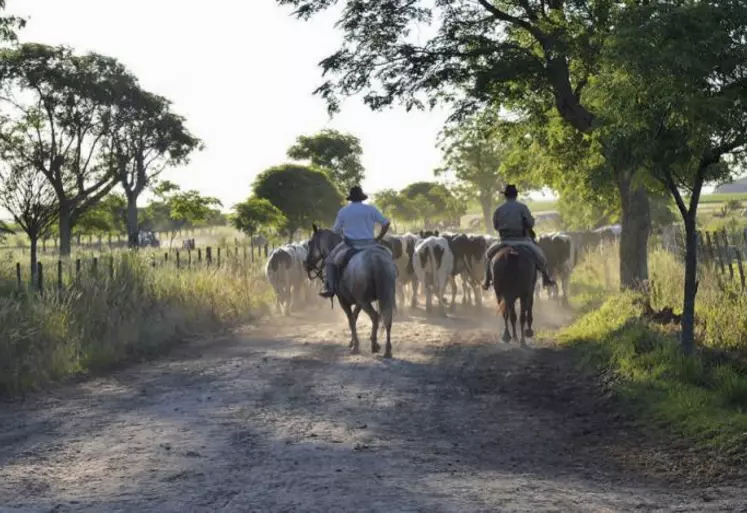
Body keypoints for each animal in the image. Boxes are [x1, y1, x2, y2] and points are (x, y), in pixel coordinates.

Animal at [304, 222, 398, 358]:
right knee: (387, 319)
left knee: (375, 316)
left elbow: (351, 319)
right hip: (384, 297)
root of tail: (375, 258)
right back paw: (387, 350)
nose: (306, 264)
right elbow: (354, 316)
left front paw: (355, 345)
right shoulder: (358, 301)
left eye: (310, 243)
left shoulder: (344, 301)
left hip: (365, 301)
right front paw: (353, 341)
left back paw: (372, 345)